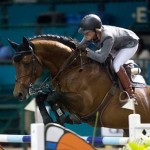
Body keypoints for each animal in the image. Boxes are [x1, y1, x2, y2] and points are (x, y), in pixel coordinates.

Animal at [8, 34, 150, 135]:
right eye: (13, 63)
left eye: (26, 62)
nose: (18, 94)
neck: (72, 67)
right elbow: (43, 97)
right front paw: (50, 119)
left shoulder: (84, 102)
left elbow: (52, 97)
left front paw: (62, 119)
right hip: (126, 129)